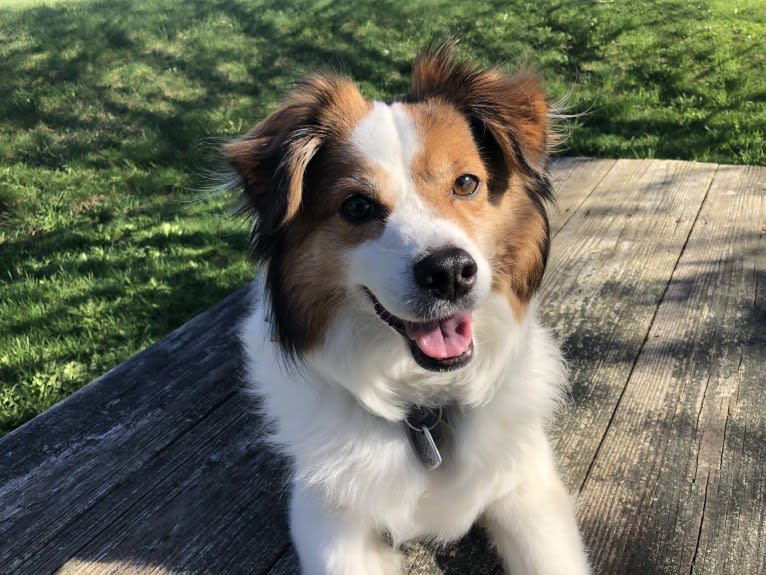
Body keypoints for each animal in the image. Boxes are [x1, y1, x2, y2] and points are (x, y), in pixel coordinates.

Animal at [225, 42, 592, 572]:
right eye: (357, 206)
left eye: (466, 183)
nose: (449, 272)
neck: (424, 405)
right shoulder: (324, 510)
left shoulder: (530, 487)